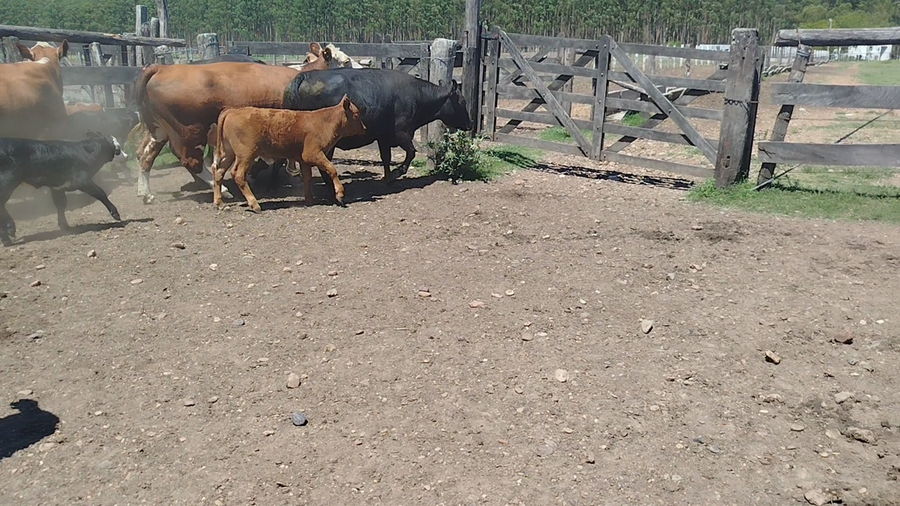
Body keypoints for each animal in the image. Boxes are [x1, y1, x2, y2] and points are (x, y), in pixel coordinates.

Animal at [211, 95, 367, 212]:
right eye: (357, 114)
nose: (365, 128)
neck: (324, 122)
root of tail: (232, 111)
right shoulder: (314, 154)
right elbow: (331, 169)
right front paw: (340, 193)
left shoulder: (304, 160)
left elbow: (307, 178)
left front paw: (309, 199)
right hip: (246, 154)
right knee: (238, 175)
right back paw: (254, 204)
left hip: (229, 153)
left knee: (219, 172)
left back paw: (219, 203)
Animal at [282, 68, 472, 190]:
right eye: (462, 102)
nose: (470, 125)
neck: (416, 95)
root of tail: (304, 75)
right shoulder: (402, 133)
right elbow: (411, 153)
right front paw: (396, 174)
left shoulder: (384, 136)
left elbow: (386, 158)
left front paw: (387, 178)